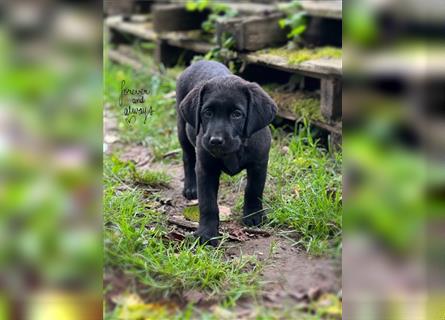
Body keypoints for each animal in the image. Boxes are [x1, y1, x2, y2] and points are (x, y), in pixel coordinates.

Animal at [175, 60, 276, 245]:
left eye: (237, 114)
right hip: (182, 128)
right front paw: (207, 233)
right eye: (207, 113)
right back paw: (191, 187)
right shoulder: (206, 169)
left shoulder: (259, 164)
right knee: (188, 158)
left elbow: (254, 190)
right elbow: (208, 204)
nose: (215, 140)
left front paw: (254, 216)